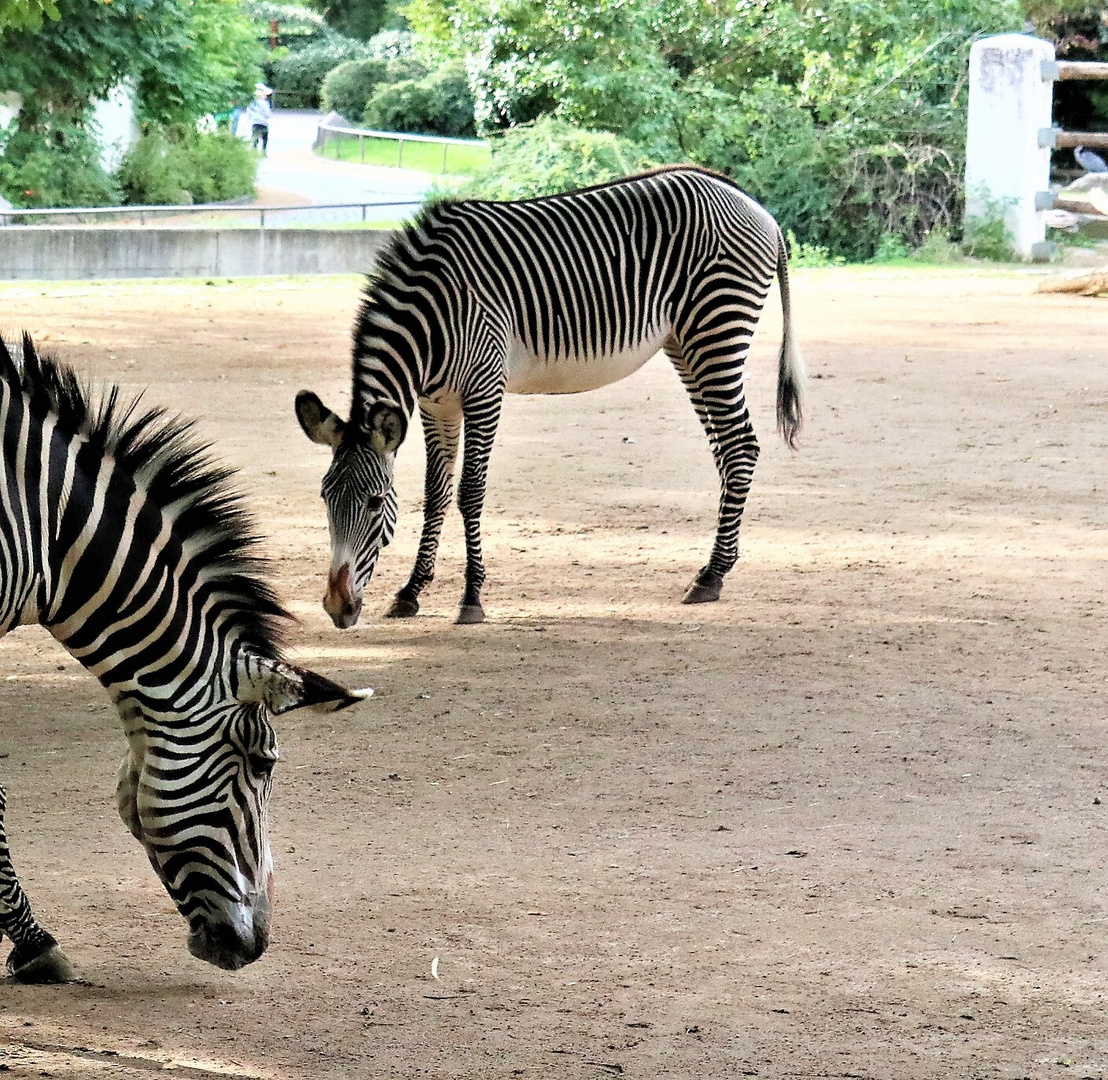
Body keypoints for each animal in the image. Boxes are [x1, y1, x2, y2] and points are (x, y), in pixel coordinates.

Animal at [294, 165, 802, 629]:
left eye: (375, 503)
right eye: (324, 497)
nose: (337, 608)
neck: (435, 313)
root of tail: (751, 202)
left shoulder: (485, 389)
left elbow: (469, 492)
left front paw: (472, 597)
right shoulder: (437, 403)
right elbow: (435, 493)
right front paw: (411, 592)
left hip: (717, 330)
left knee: (741, 446)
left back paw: (711, 576)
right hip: (686, 345)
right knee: (725, 448)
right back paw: (713, 567)